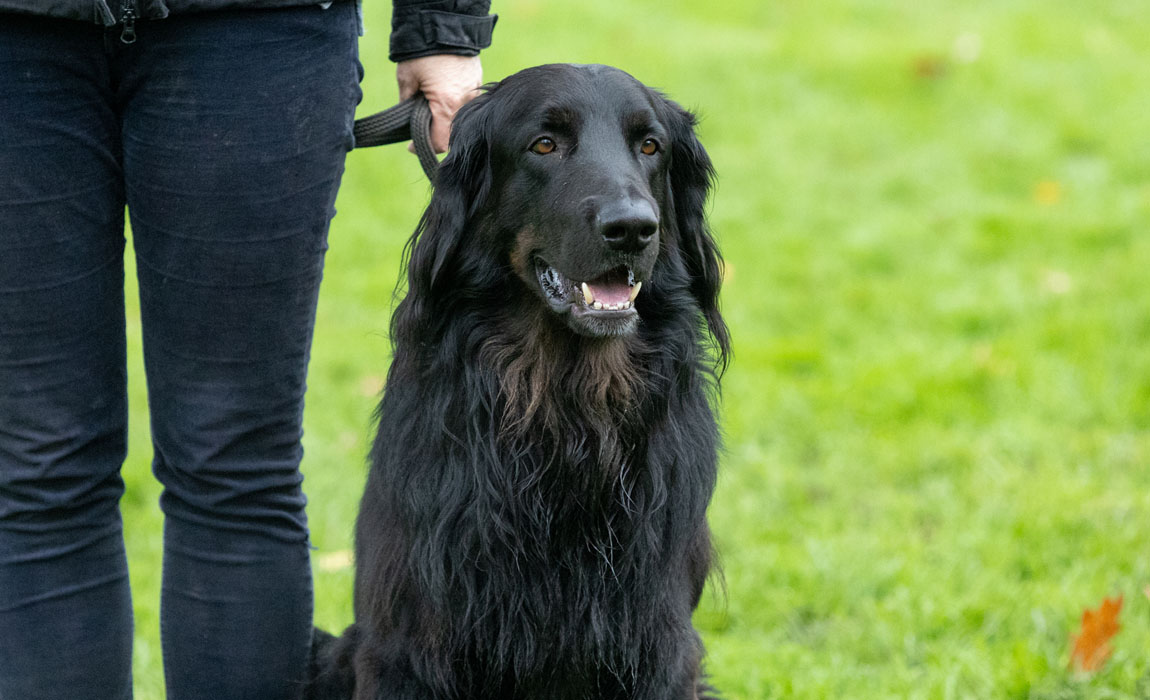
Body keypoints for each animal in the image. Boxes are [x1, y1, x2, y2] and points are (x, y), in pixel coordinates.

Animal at [308, 64, 726, 698]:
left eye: (650, 146)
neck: (568, 410)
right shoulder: (408, 647)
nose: (633, 228)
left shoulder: (658, 642)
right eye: (544, 144)